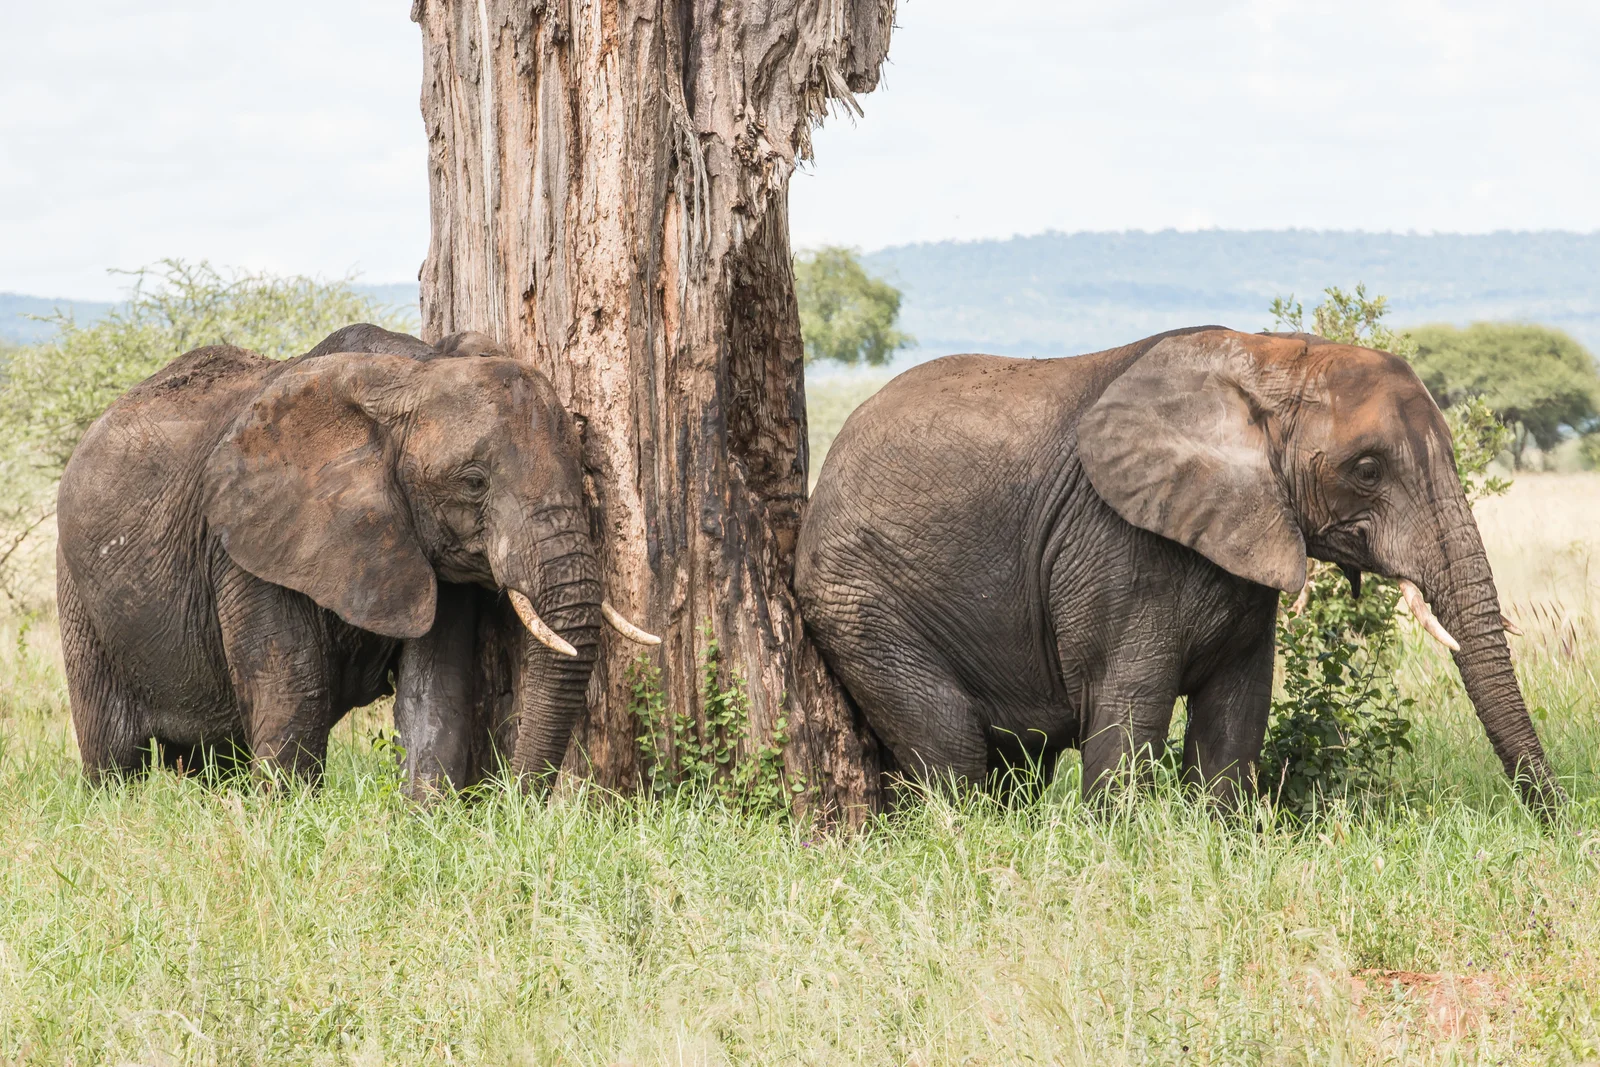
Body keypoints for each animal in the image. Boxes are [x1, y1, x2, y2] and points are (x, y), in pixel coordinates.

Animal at [56, 327, 655, 790]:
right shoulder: (247, 546)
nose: (514, 807)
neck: (411, 371)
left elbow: (434, 689)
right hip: (78, 590)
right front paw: (286, 825)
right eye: (473, 482)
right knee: (113, 753)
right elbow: (294, 690)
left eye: (586, 468)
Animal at [795, 326, 1562, 809]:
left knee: (1014, 760)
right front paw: (1122, 845)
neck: (1275, 358)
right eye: (1368, 470)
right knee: (951, 748)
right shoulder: (1115, 544)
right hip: (859, 602)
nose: (1555, 822)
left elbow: (1237, 714)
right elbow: (1129, 708)